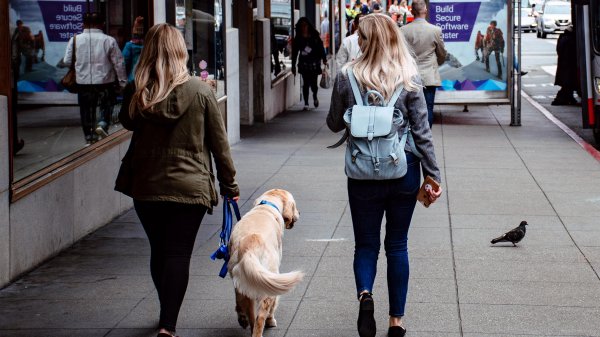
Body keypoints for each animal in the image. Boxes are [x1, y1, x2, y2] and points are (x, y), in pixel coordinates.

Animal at [227, 189, 304, 336]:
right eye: (295, 206)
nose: (300, 212)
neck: (266, 206)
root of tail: (249, 248)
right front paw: (271, 321)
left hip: (243, 282)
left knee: (246, 309)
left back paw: (243, 320)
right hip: (269, 282)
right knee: (260, 317)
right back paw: (266, 324)